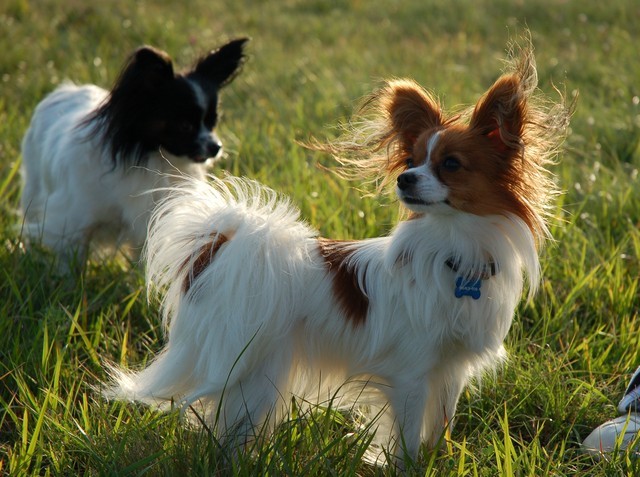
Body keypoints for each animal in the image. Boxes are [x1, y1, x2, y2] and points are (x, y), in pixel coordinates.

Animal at [20, 38, 248, 264]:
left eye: (213, 122)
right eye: (185, 126)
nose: (216, 147)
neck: (155, 159)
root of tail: (65, 90)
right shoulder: (72, 221)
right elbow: (71, 260)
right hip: (34, 187)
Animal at [106, 40, 568, 462]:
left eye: (450, 164)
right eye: (412, 161)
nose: (404, 179)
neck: (454, 249)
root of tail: (220, 247)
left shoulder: (449, 370)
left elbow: (439, 429)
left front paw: (439, 460)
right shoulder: (411, 373)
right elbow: (406, 440)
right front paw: (407, 466)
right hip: (254, 366)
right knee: (230, 426)